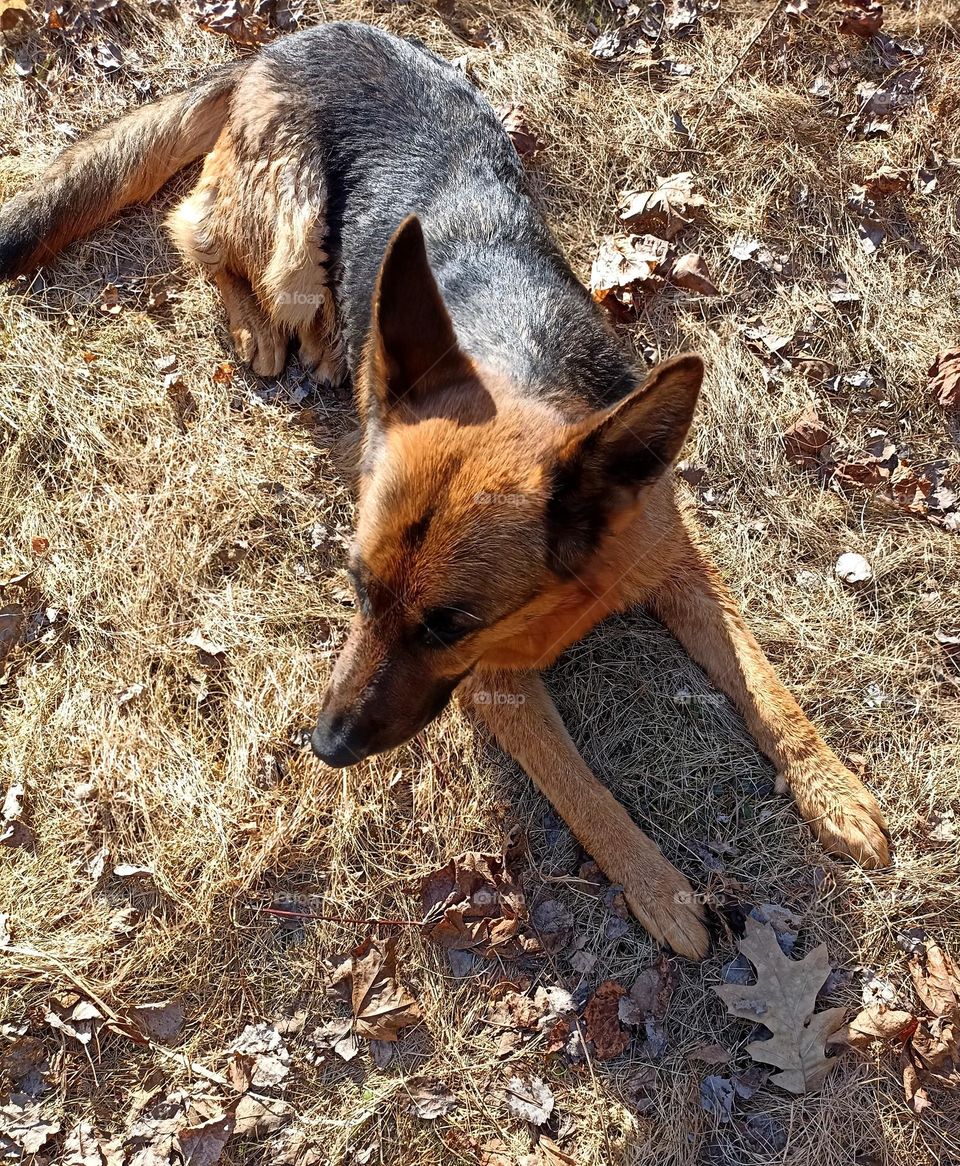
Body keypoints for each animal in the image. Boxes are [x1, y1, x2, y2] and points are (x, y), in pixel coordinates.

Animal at [0, 22, 891, 960]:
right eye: (356, 589)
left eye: (447, 625)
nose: (324, 746)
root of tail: (293, 39)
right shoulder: (500, 687)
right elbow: (587, 795)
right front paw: (662, 891)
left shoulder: (678, 569)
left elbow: (767, 689)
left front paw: (833, 792)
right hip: (291, 243)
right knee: (199, 233)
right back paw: (259, 327)